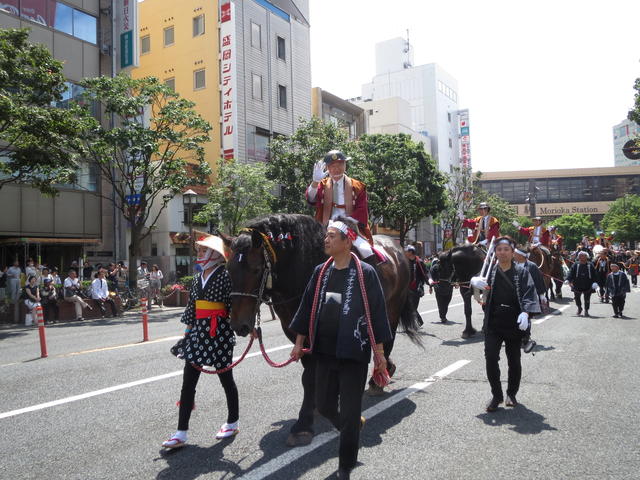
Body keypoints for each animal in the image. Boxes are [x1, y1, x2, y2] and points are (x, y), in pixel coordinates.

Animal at [222, 214, 422, 446]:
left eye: (255, 269)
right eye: (228, 270)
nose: (239, 325)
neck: (302, 269)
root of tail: (397, 248)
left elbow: (309, 377)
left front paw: (303, 424)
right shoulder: (295, 330)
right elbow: (311, 372)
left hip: (391, 308)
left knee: (385, 341)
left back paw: (377, 379)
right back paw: (387, 369)